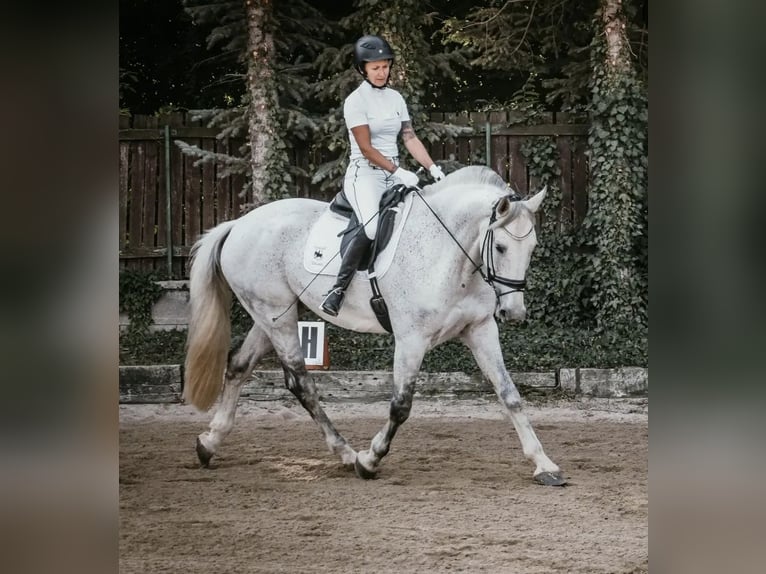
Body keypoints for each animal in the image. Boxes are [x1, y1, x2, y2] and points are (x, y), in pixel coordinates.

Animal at [183, 165, 566, 486]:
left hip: (271, 316)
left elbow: (509, 394)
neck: (450, 254)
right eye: (499, 246)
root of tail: (238, 224)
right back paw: (345, 452)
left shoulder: (481, 329)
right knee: (300, 382)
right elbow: (401, 405)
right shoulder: (412, 339)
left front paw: (544, 464)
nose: (514, 312)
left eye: (532, 247)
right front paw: (369, 460)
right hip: (277, 316)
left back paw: (208, 443)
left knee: (239, 366)